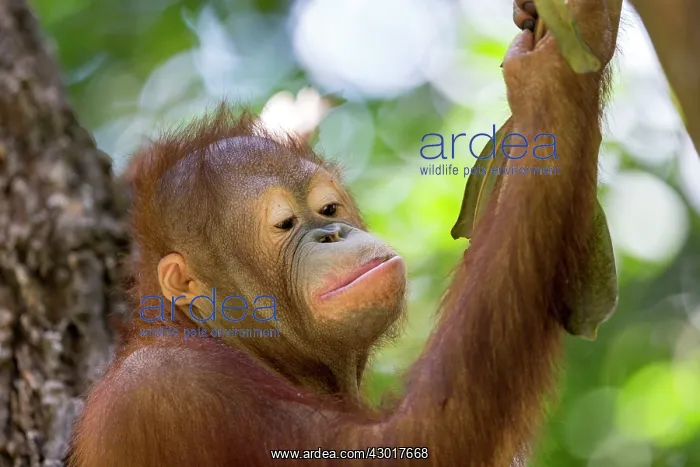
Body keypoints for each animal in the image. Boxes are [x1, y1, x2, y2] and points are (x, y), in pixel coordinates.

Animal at [67, 1, 622, 465]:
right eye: (285, 225)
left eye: (327, 209)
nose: (331, 233)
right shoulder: (172, 390)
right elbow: (407, 442)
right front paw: (554, 71)